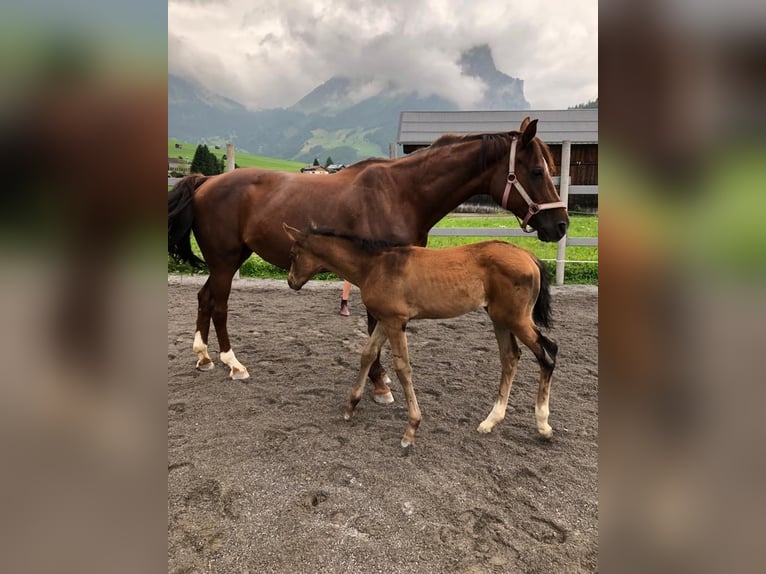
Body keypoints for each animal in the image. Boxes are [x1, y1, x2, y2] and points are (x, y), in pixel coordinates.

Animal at [170, 119, 568, 402]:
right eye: (537, 171)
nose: (561, 224)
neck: (402, 192)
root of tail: (206, 180)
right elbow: (374, 326)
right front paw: (380, 384)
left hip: (229, 259)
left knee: (204, 298)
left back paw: (203, 357)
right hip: (225, 261)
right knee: (219, 304)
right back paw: (232, 363)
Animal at [284, 225, 560, 450]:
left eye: (294, 254)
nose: (290, 282)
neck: (374, 266)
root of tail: (529, 256)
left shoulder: (396, 322)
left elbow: (402, 368)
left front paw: (411, 430)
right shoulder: (386, 320)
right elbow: (367, 354)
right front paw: (351, 407)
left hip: (516, 320)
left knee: (548, 352)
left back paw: (543, 425)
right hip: (499, 319)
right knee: (510, 357)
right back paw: (490, 421)